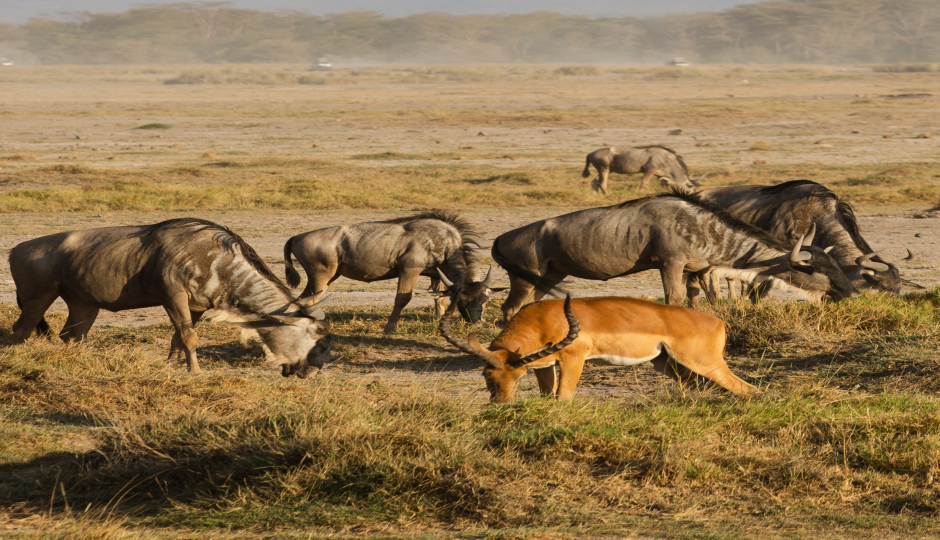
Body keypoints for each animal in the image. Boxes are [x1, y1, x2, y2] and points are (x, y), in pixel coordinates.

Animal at [440, 294, 756, 402]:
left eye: (517, 378)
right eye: (486, 375)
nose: (501, 403)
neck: (543, 318)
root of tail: (718, 321)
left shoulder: (573, 359)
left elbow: (562, 397)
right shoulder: (543, 365)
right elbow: (546, 396)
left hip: (704, 363)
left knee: (747, 388)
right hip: (670, 365)